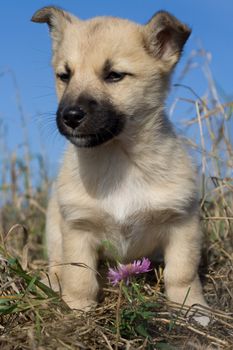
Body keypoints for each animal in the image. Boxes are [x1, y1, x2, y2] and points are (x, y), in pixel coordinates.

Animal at [31, 6, 208, 312]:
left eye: (114, 75)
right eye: (65, 75)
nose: (70, 116)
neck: (119, 159)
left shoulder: (182, 224)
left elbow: (182, 274)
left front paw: (192, 308)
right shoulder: (77, 229)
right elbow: (79, 278)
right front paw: (78, 310)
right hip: (54, 224)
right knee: (57, 264)